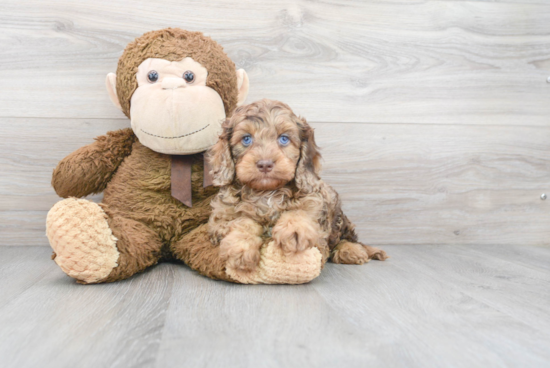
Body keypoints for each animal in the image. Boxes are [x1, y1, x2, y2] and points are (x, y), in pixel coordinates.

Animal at [209, 98, 390, 276]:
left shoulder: (315, 201)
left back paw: (351, 250)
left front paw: (294, 231)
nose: (265, 164)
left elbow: (301, 210)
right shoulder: (220, 217)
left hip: (338, 216)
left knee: (344, 238)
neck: (266, 192)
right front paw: (240, 248)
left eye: (283, 139)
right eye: (246, 139)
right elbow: (241, 221)